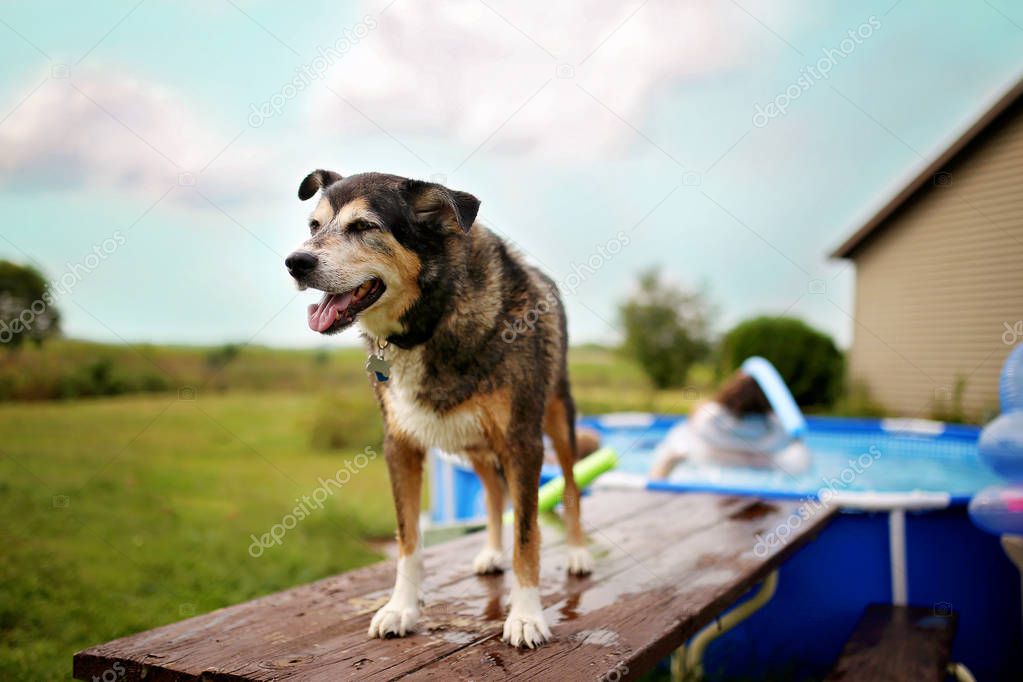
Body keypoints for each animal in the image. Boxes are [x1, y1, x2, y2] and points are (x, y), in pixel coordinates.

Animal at [288, 169, 593, 646]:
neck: (433, 318)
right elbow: (408, 539)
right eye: (314, 226)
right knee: (493, 492)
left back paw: (578, 554)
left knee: (571, 488)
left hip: (558, 420)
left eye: (364, 226)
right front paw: (402, 608)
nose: (295, 263)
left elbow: (528, 535)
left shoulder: (523, 443)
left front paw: (526, 615)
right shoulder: (400, 446)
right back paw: (490, 552)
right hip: (472, 441)